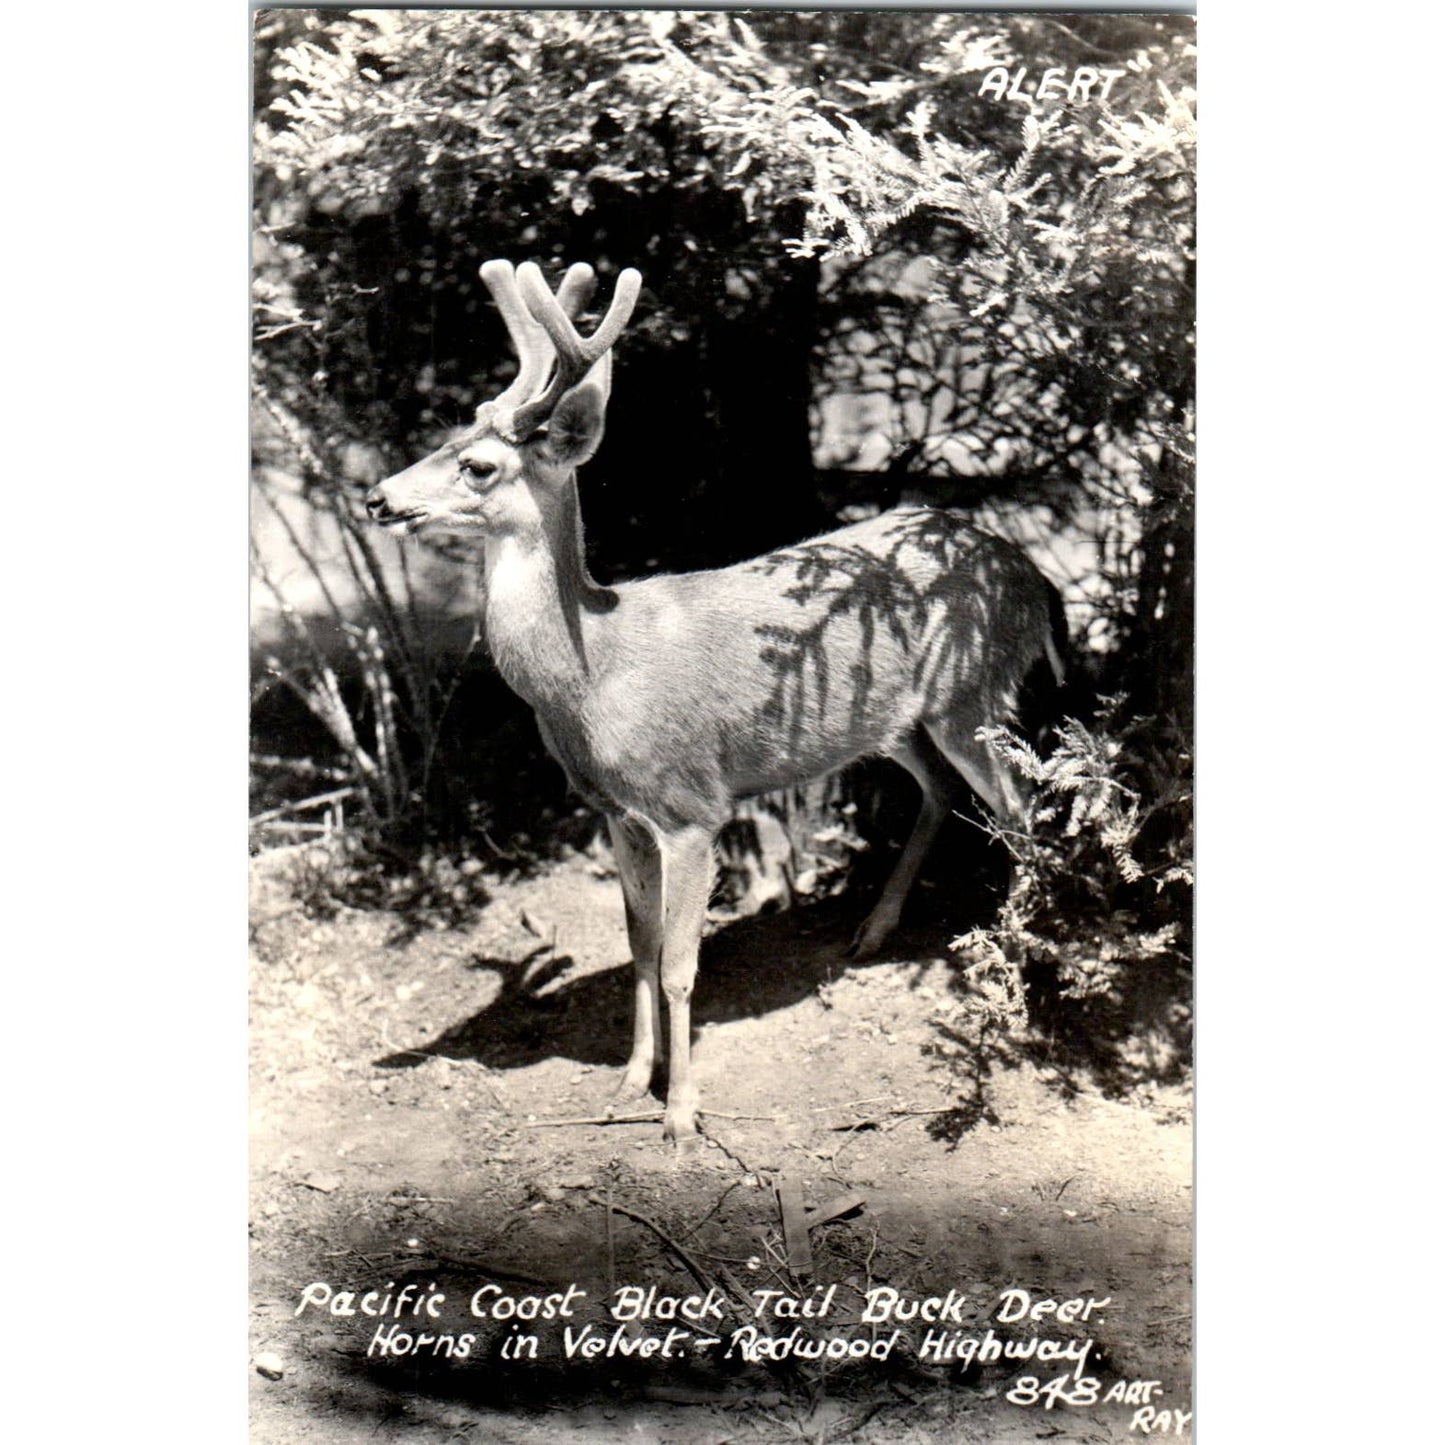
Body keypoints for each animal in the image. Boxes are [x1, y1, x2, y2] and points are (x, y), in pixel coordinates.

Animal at [366, 259, 1065, 1141]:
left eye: (480, 466)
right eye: (448, 436)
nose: (378, 497)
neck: (594, 672)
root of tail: (1031, 575)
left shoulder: (692, 805)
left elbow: (677, 963)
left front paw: (680, 1114)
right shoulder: (617, 812)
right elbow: (636, 942)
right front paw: (630, 1079)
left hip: (970, 692)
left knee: (1023, 808)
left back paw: (1012, 963)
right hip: (895, 720)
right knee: (942, 791)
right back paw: (872, 931)